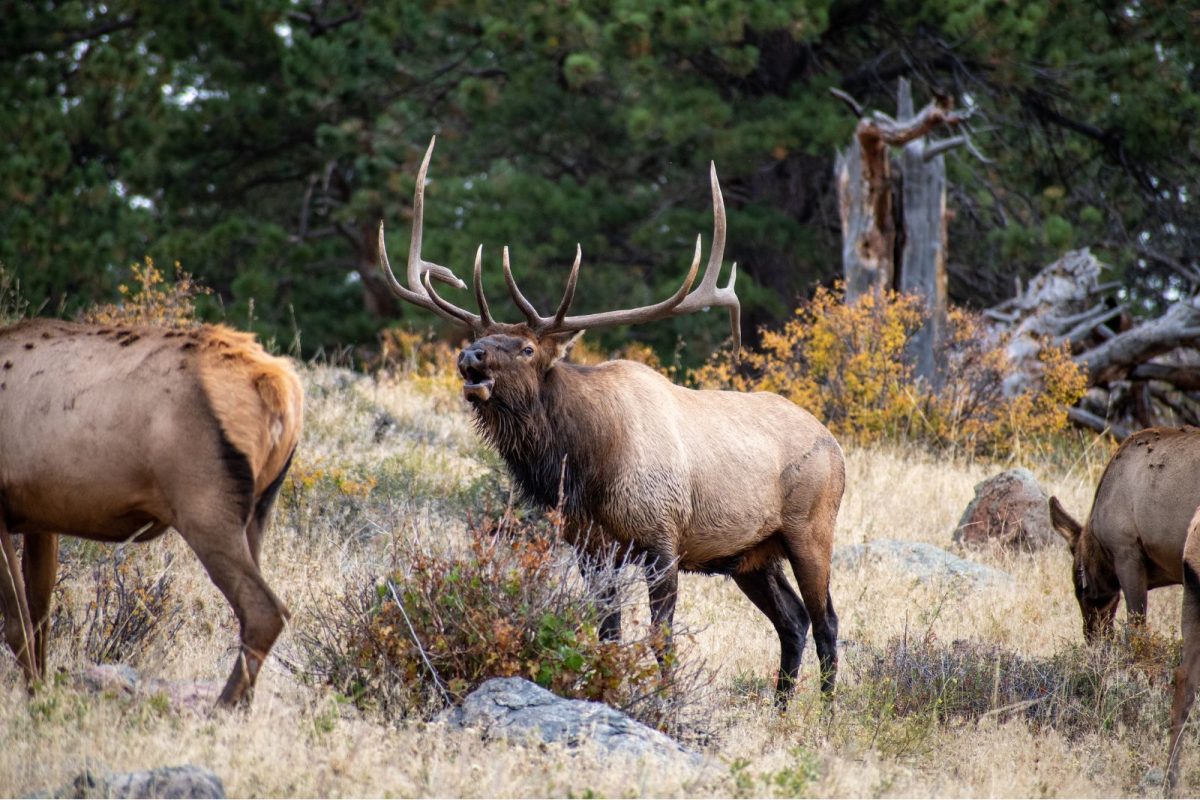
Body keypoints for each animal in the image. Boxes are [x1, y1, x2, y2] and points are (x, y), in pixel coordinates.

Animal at [0, 319, 304, 705]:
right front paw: (39, 692)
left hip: (203, 505)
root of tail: (281, 388)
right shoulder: (41, 517)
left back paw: (222, 707)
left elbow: (17, 624)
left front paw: (37, 702)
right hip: (259, 510)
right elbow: (40, 616)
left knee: (264, 610)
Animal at [384, 140, 844, 710]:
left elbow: (661, 640)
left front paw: (667, 705)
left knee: (826, 620)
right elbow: (607, 635)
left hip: (811, 527)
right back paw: (779, 711)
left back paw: (824, 713)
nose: (470, 356)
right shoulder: (589, 548)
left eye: (528, 347)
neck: (588, 468)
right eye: (479, 337)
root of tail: (837, 447)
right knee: (793, 620)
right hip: (750, 555)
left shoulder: (662, 538)